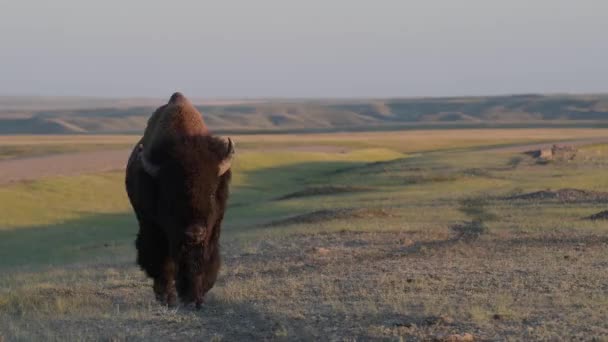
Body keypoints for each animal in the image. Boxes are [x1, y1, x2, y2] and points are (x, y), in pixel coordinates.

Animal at [124, 92, 234, 308]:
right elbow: (164, 262)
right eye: (170, 197)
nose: (194, 233)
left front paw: (196, 297)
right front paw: (169, 298)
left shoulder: (212, 229)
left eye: (211, 193)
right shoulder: (156, 227)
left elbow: (203, 260)